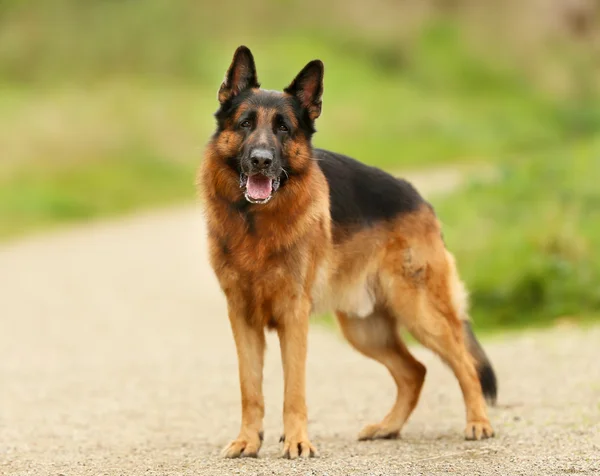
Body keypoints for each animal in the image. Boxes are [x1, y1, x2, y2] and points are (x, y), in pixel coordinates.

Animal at [198, 46, 496, 460]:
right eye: (244, 124)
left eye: (283, 128)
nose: (260, 160)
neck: (255, 223)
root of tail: (418, 196)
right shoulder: (242, 318)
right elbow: (250, 389)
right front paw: (248, 440)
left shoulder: (293, 318)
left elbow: (294, 391)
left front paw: (297, 441)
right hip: (364, 329)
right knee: (415, 371)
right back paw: (388, 427)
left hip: (420, 313)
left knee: (464, 365)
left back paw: (478, 422)